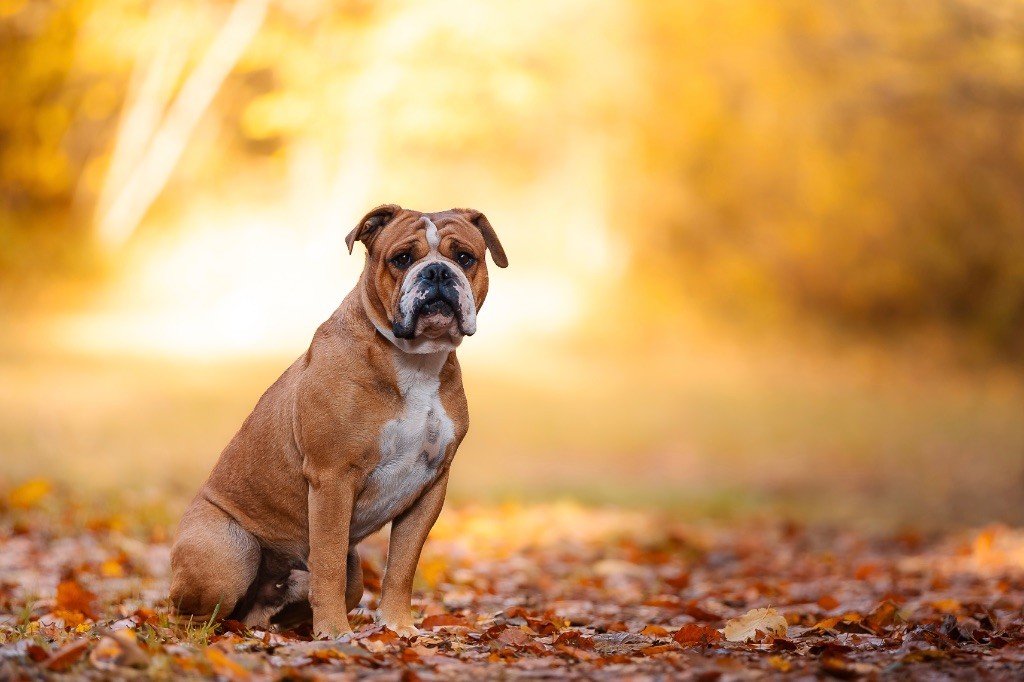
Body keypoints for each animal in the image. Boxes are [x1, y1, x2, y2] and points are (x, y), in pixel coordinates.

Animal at [169, 204, 509, 634]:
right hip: (227, 555)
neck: (415, 362)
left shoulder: (430, 486)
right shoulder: (333, 478)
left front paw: (398, 628)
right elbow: (327, 564)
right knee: (192, 611)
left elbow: (402, 567)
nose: (437, 272)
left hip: (350, 577)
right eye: (402, 259)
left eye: (464, 257)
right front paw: (334, 632)